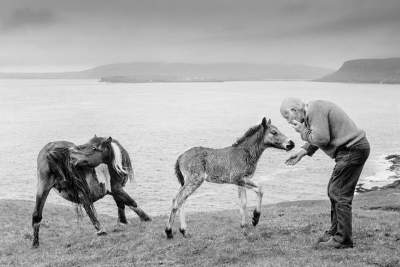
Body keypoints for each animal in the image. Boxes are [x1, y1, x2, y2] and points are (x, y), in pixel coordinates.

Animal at [165, 118, 294, 240]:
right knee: (179, 200)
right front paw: (255, 218)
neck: (245, 153)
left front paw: (244, 228)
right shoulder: (238, 179)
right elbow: (260, 189)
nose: (291, 144)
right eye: (274, 132)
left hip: (186, 181)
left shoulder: (241, 181)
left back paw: (183, 231)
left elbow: (243, 202)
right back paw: (170, 232)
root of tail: (180, 157)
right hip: (194, 180)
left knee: (179, 199)